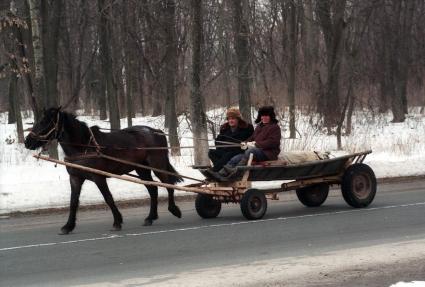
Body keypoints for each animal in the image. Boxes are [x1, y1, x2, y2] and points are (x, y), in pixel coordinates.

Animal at [24, 107, 181, 235]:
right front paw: (68, 226)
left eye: (45, 122)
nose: (27, 142)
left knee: (168, 184)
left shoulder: (98, 177)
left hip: (157, 165)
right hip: (142, 169)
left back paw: (174, 209)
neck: (83, 146)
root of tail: (157, 132)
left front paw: (117, 222)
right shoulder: (75, 178)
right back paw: (150, 217)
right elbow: (73, 202)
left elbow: (108, 198)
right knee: (153, 189)